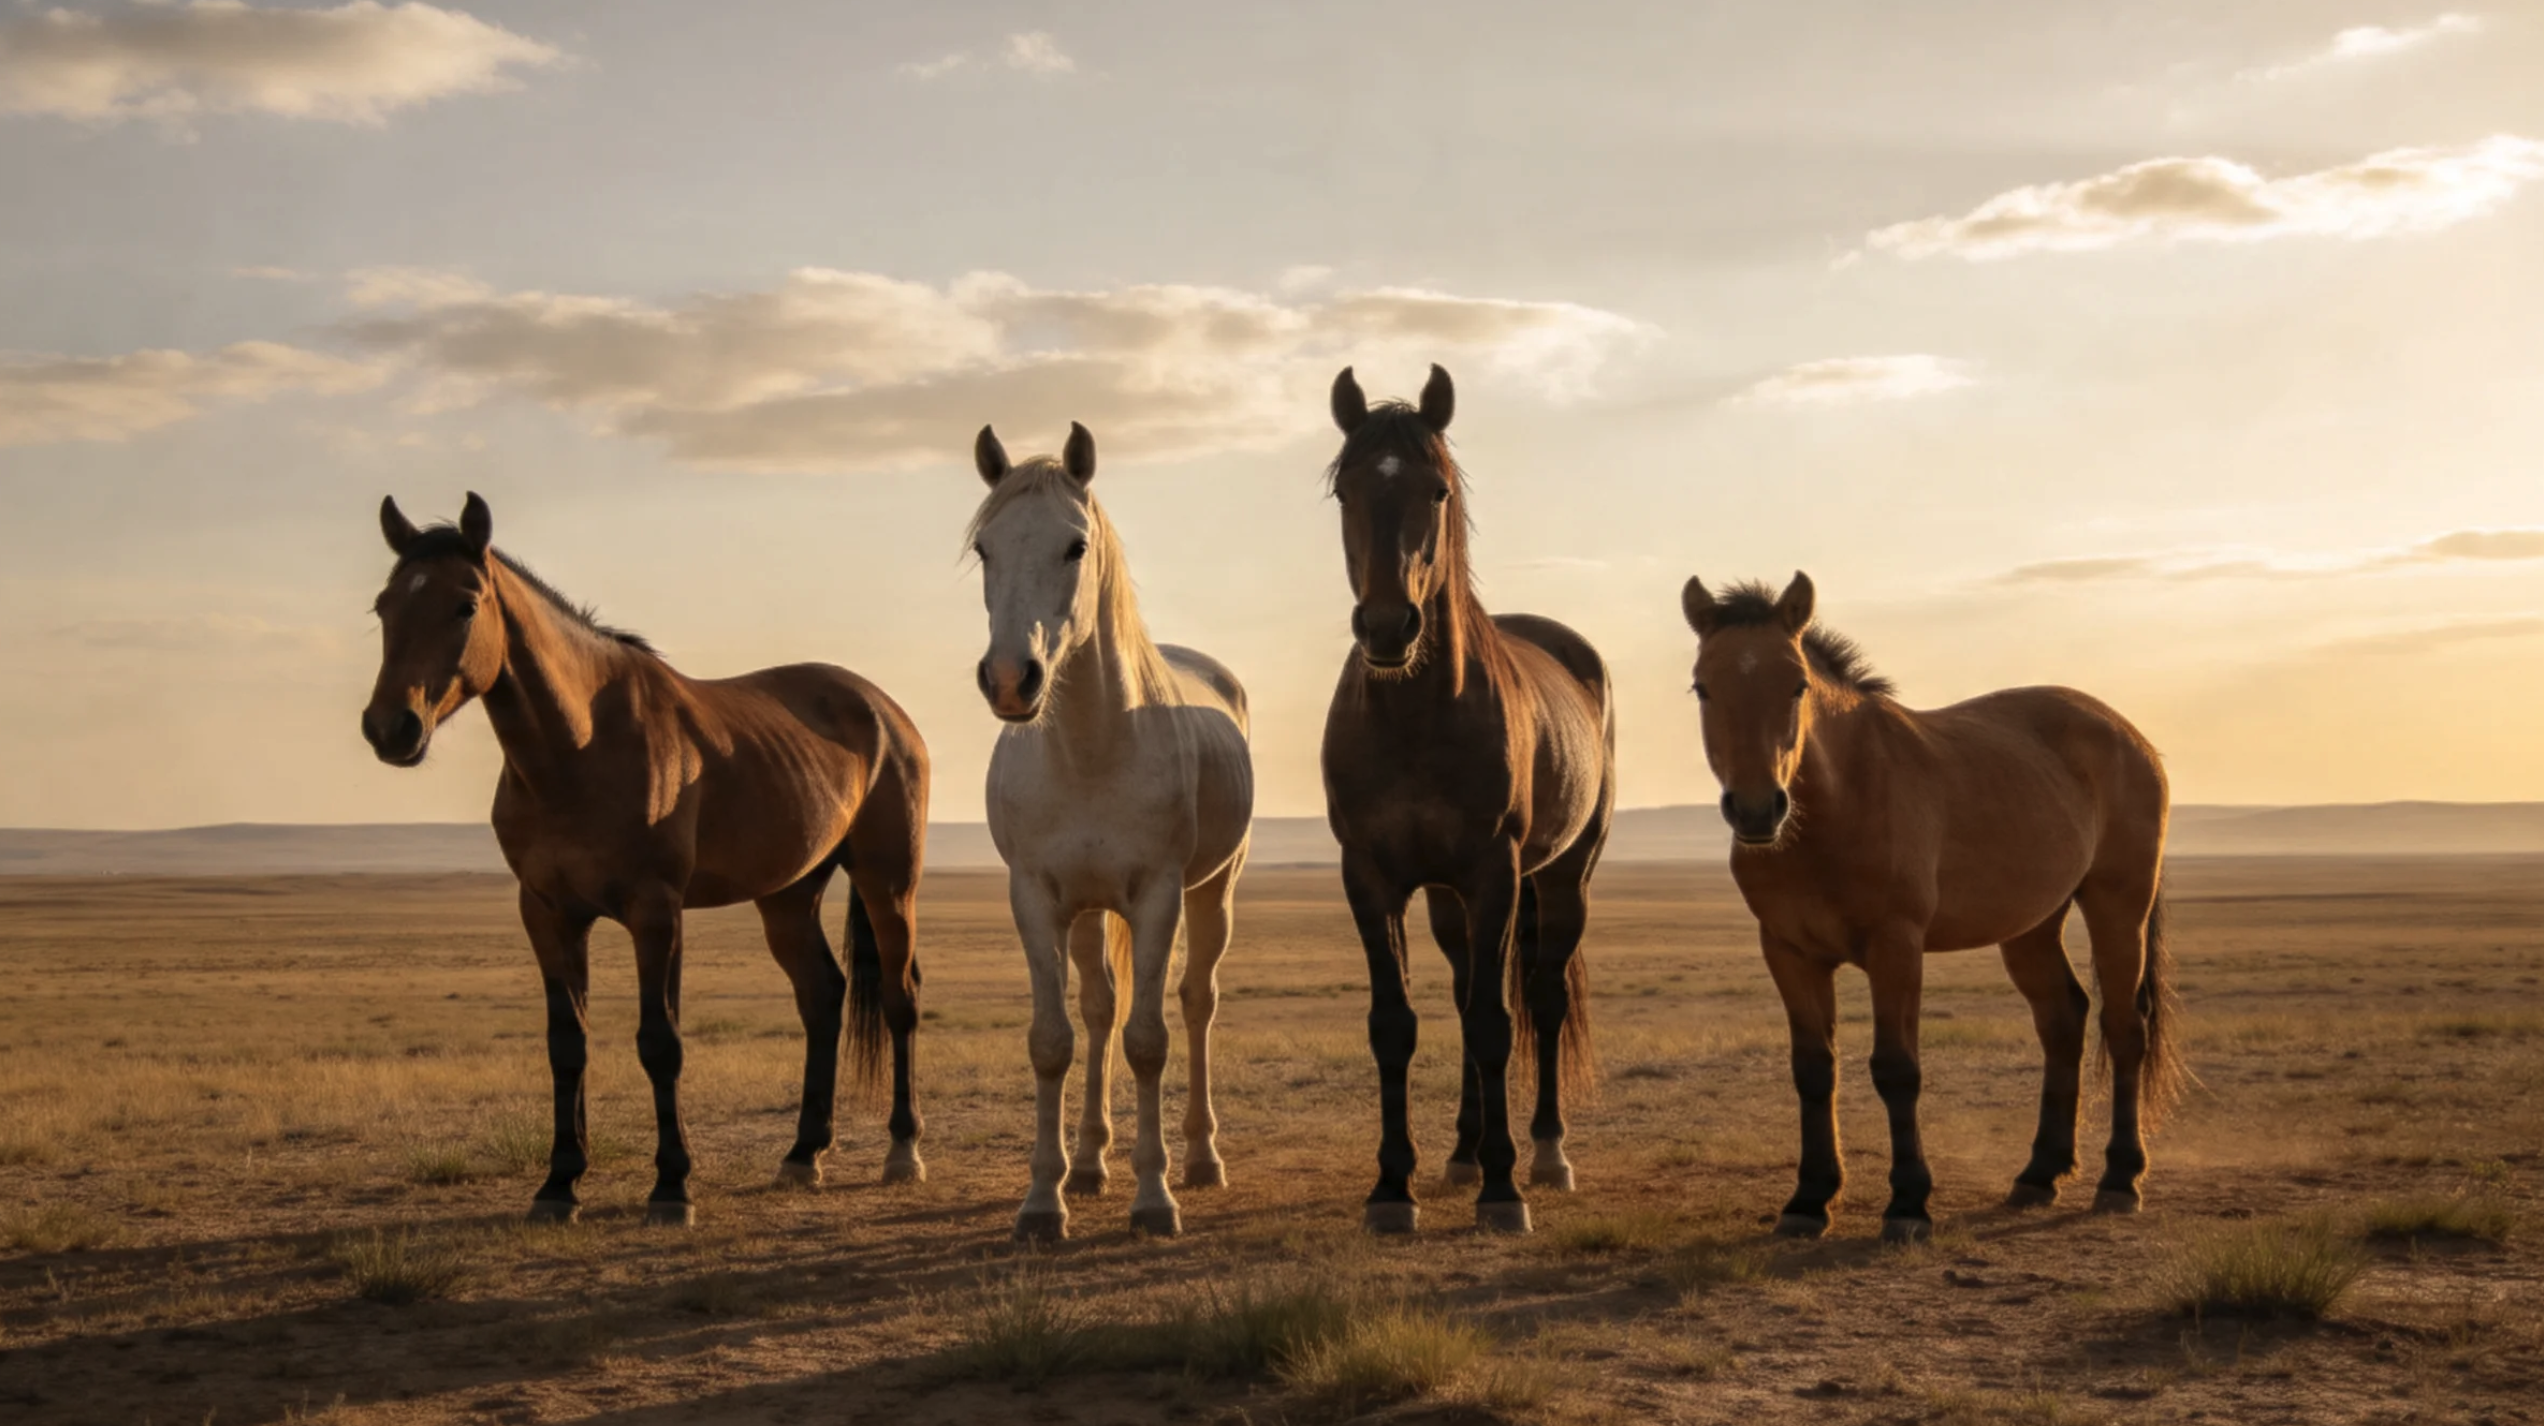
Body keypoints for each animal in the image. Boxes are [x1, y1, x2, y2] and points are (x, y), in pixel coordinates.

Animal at [361, 494, 930, 1226]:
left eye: (465, 605)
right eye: (383, 606)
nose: (390, 728)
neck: (578, 749)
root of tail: (884, 710)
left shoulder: (655, 911)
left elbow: (661, 1042)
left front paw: (671, 1186)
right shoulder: (547, 914)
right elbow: (567, 1045)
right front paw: (559, 1184)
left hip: (890, 884)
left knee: (898, 998)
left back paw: (902, 1151)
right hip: (789, 895)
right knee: (822, 997)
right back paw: (804, 1155)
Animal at [967, 422, 1254, 1241]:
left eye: (1074, 546)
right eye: (984, 549)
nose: (1011, 679)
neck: (1091, 749)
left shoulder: (1158, 898)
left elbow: (1149, 1041)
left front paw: (1154, 1198)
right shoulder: (1036, 900)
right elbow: (1054, 1040)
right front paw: (1043, 1199)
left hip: (1213, 894)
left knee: (1195, 1003)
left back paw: (1201, 1157)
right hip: (1090, 911)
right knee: (1097, 1010)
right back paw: (1091, 1163)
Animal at [1320, 365, 1612, 1236]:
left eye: (1438, 490)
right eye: (1345, 489)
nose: (1388, 627)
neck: (1417, 714)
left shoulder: (1494, 874)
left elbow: (1494, 1024)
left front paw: (1503, 1189)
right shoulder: (1371, 877)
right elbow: (1396, 1024)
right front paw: (1393, 1186)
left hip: (1562, 879)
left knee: (1542, 1000)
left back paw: (1544, 1152)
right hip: (1450, 901)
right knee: (1462, 990)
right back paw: (1462, 1151)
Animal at [1679, 572, 2187, 1243]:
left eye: (1797, 685)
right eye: (1703, 687)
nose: (1758, 809)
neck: (1835, 808)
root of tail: (2127, 735)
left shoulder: (1896, 947)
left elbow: (1897, 1069)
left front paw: (1907, 1204)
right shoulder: (1789, 951)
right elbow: (1813, 1070)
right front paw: (1810, 1198)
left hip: (2117, 907)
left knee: (2125, 1028)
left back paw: (2120, 1180)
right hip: (2031, 926)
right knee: (2062, 1020)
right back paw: (2038, 1174)